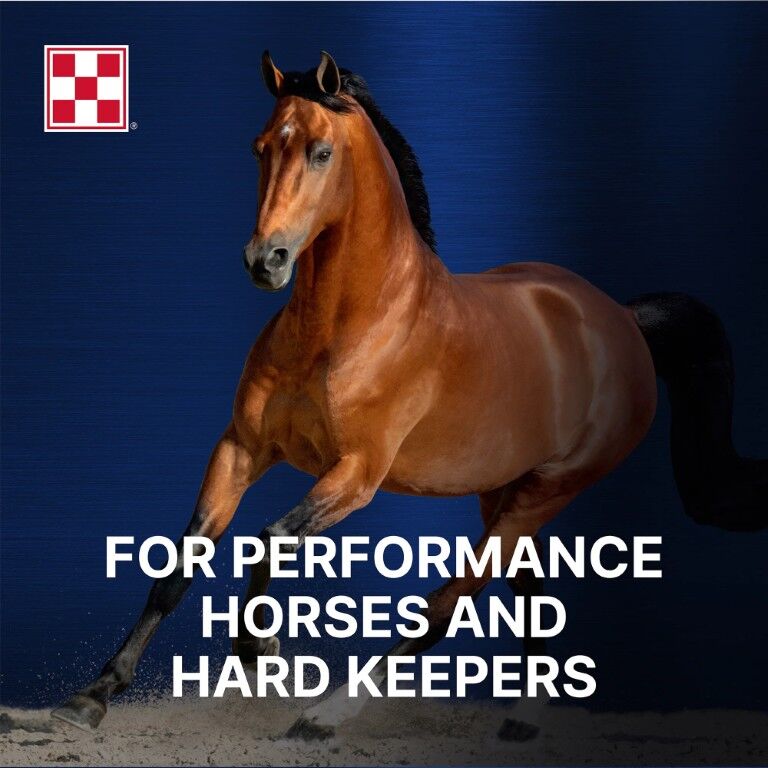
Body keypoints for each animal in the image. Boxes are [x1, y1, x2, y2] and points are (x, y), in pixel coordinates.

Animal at [52, 50, 767, 741]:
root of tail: (621, 318)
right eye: (259, 148)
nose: (266, 260)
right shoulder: (241, 448)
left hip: (547, 490)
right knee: (530, 594)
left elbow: (270, 538)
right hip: (505, 492)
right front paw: (90, 698)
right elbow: (177, 567)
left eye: (320, 151)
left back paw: (325, 715)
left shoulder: (358, 474)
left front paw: (259, 652)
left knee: (450, 601)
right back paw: (522, 719)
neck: (347, 324)